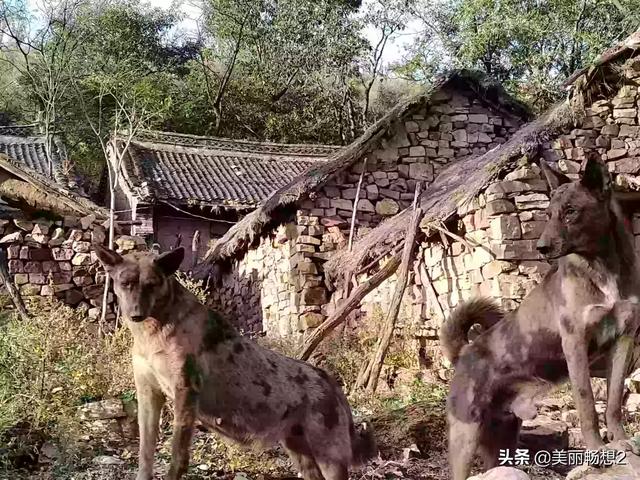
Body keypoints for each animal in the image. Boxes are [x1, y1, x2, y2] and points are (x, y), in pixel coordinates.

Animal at [94, 246, 376, 478]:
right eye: (125, 283)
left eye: (152, 284)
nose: (135, 314)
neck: (153, 333)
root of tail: (330, 381)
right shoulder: (149, 393)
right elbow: (145, 455)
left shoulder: (185, 392)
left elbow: (177, 458)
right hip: (301, 454)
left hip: (329, 458)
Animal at [440, 155, 640, 480]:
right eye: (547, 213)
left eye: (571, 212)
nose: (541, 248)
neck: (601, 266)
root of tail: (464, 352)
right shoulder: (575, 344)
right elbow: (587, 404)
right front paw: (597, 450)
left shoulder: (623, 340)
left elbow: (612, 402)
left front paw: (620, 441)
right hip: (464, 437)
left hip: (502, 442)